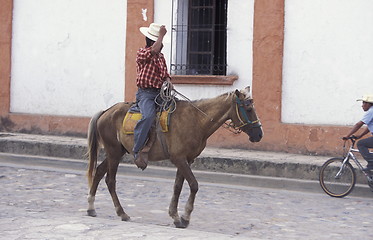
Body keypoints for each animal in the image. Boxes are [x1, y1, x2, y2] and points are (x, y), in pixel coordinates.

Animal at [86, 86, 262, 227]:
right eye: (248, 108)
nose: (259, 134)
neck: (196, 120)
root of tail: (105, 112)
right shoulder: (179, 159)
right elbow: (193, 185)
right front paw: (185, 217)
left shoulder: (186, 159)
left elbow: (178, 186)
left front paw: (176, 216)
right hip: (114, 152)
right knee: (110, 180)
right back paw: (121, 213)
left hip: (116, 152)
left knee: (99, 172)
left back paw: (91, 207)